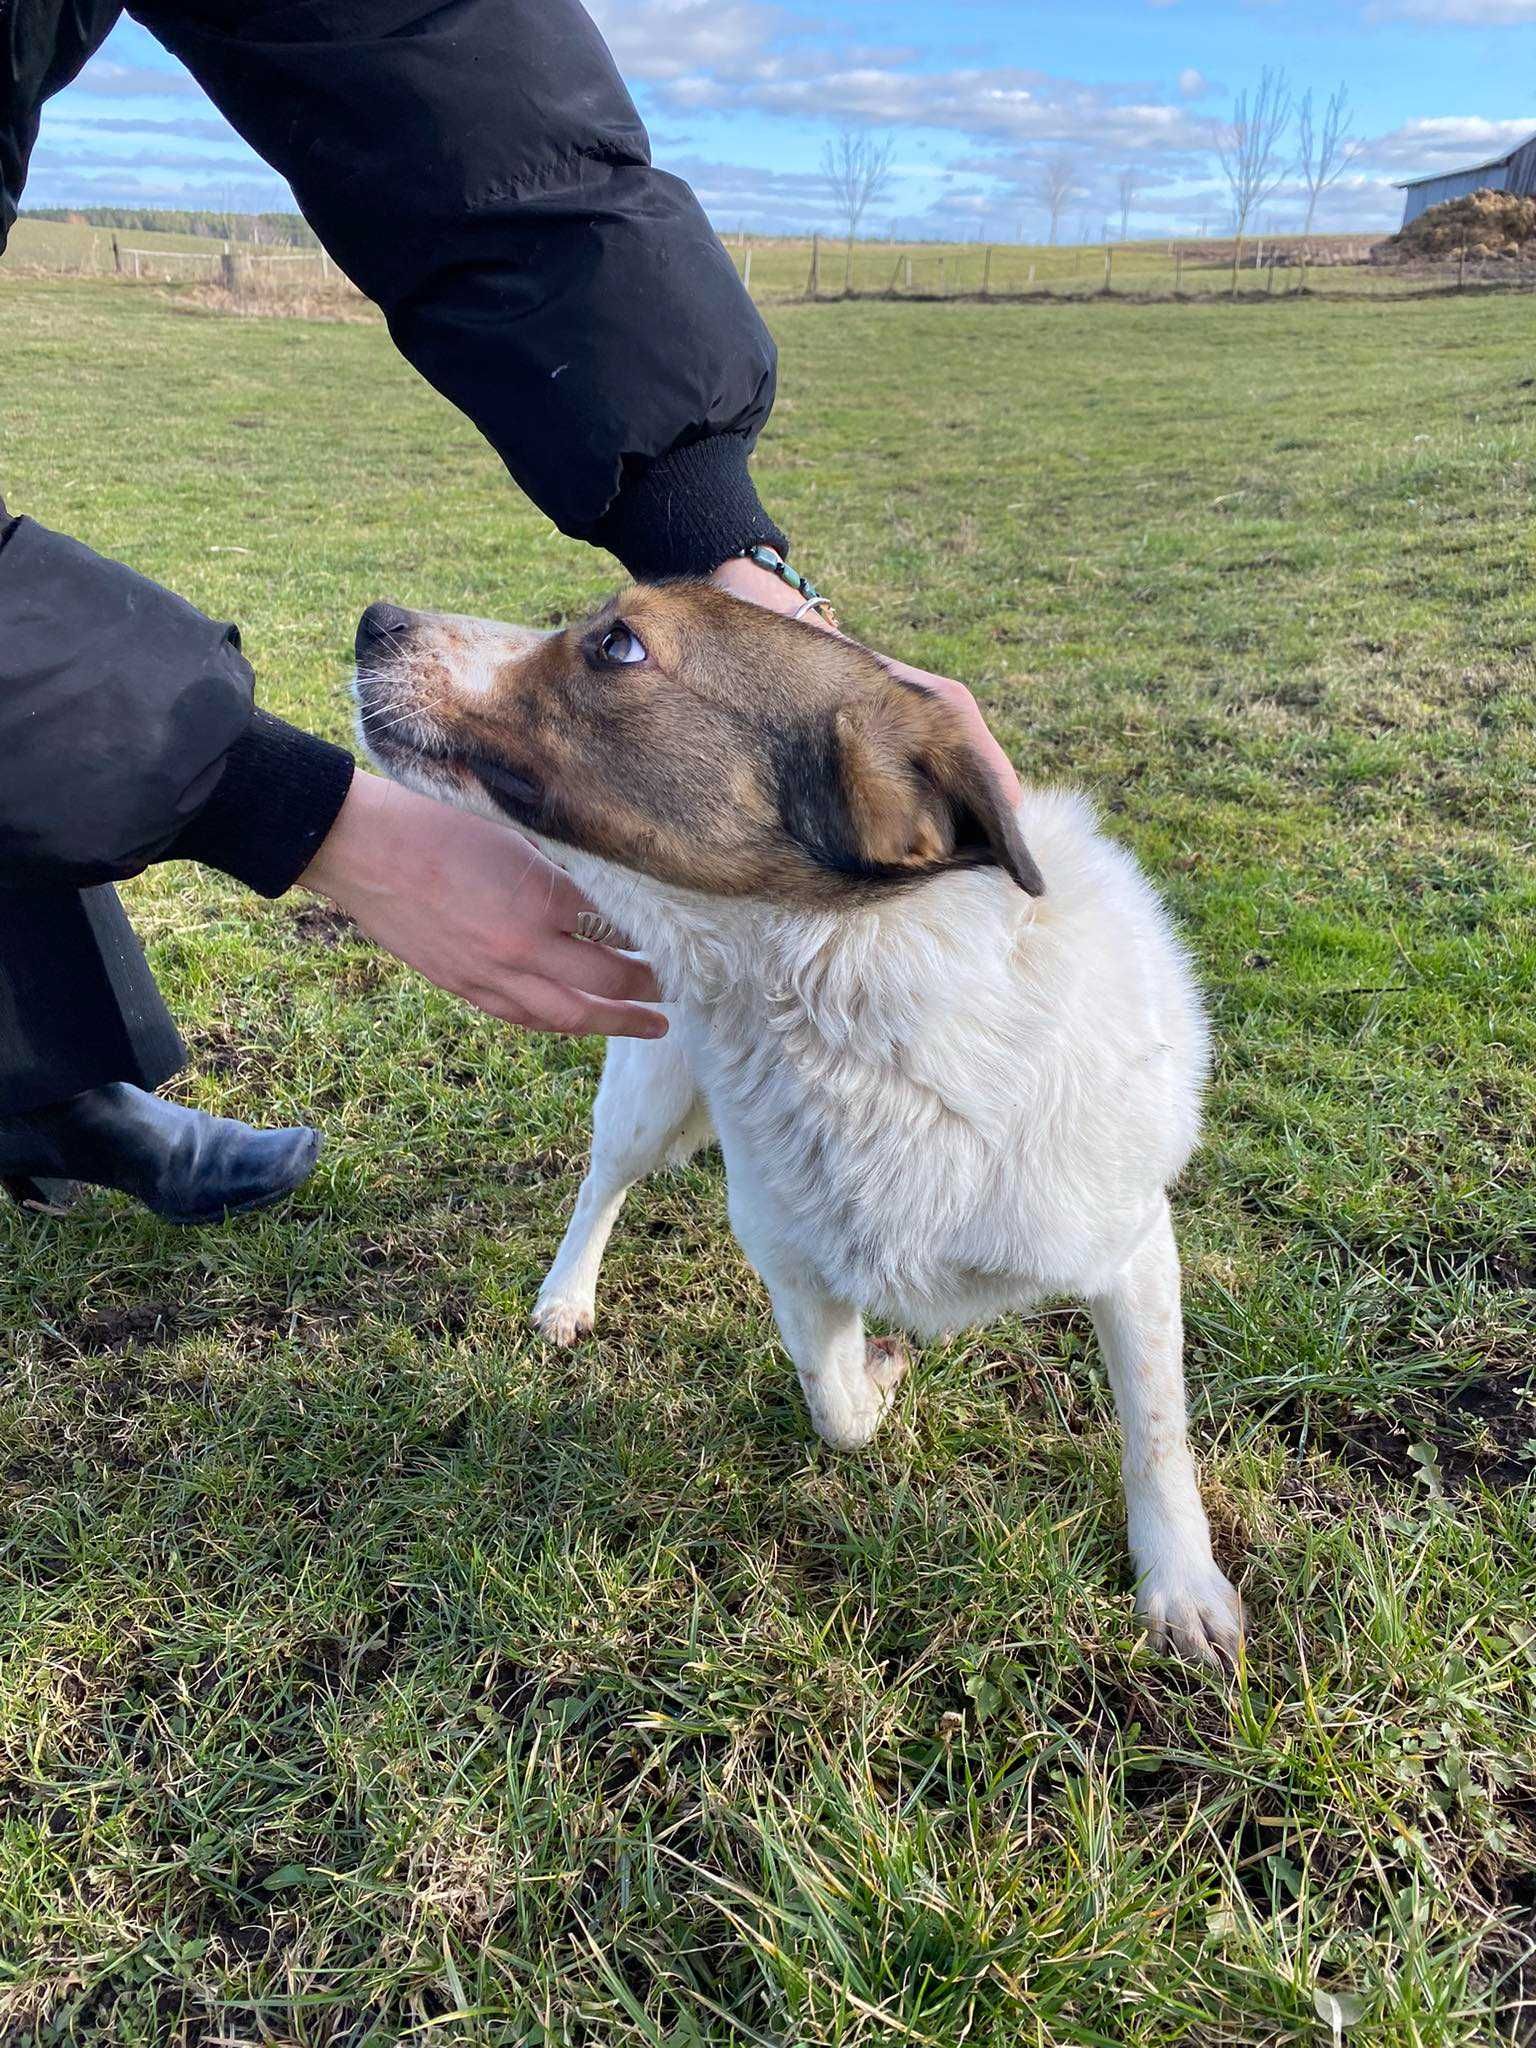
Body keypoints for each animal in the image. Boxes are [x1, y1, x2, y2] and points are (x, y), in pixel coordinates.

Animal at [354, 581, 1245, 1662]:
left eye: (619, 645)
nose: (374, 618)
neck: (859, 1021)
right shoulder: (794, 1258)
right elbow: (838, 1409)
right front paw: (881, 1373)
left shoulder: (1133, 1252)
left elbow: (1157, 1435)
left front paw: (1180, 1583)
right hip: (649, 1093)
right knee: (602, 1183)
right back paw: (568, 1292)